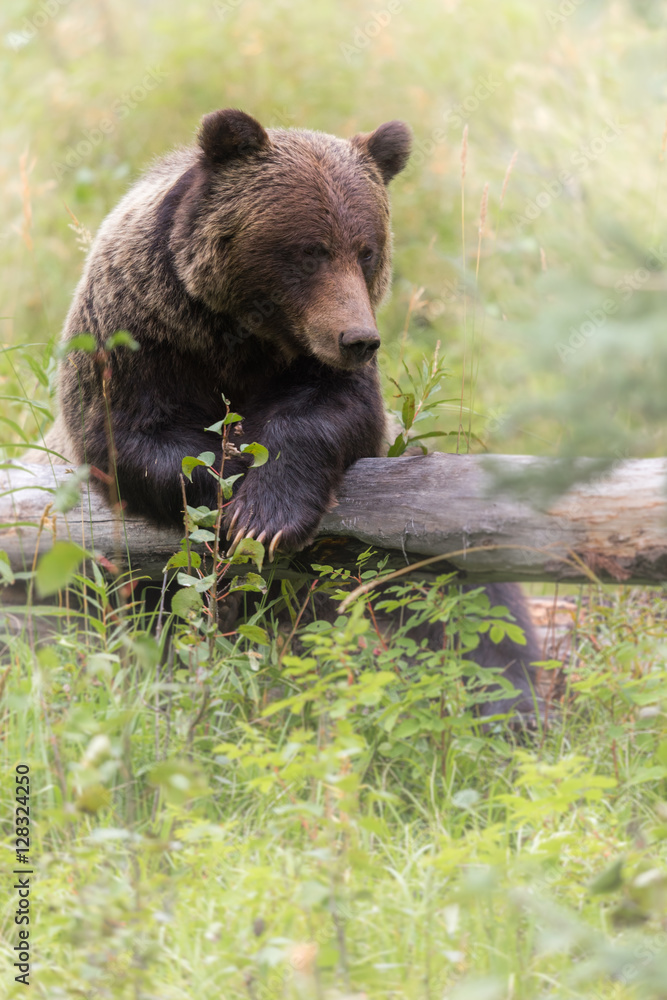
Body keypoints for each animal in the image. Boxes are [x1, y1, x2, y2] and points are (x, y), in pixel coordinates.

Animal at [52, 108, 542, 720]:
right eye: (311, 250)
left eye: (367, 250)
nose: (358, 339)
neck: (236, 336)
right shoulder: (136, 336)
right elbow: (132, 440)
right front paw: (232, 491)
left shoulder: (318, 367)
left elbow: (329, 417)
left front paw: (268, 513)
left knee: (471, 608)